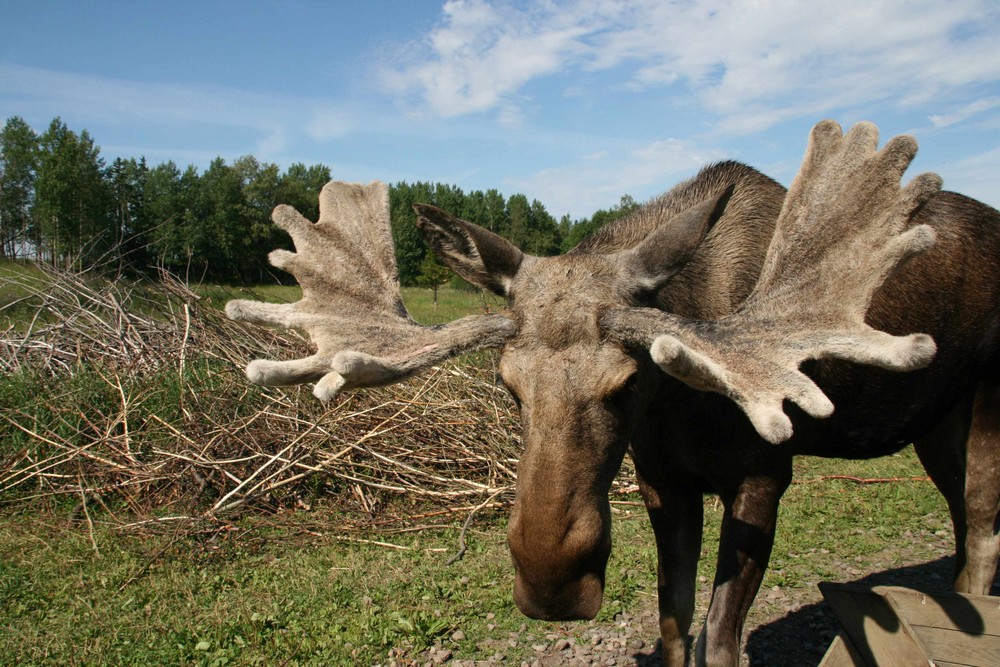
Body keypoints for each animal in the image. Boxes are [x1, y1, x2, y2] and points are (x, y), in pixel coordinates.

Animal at [227, 121, 1000, 667]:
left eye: (627, 381)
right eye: (506, 384)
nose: (552, 585)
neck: (682, 401)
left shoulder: (763, 475)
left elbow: (721, 639)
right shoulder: (664, 479)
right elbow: (673, 626)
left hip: (989, 404)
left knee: (982, 538)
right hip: (937, 425)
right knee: (964, 525)